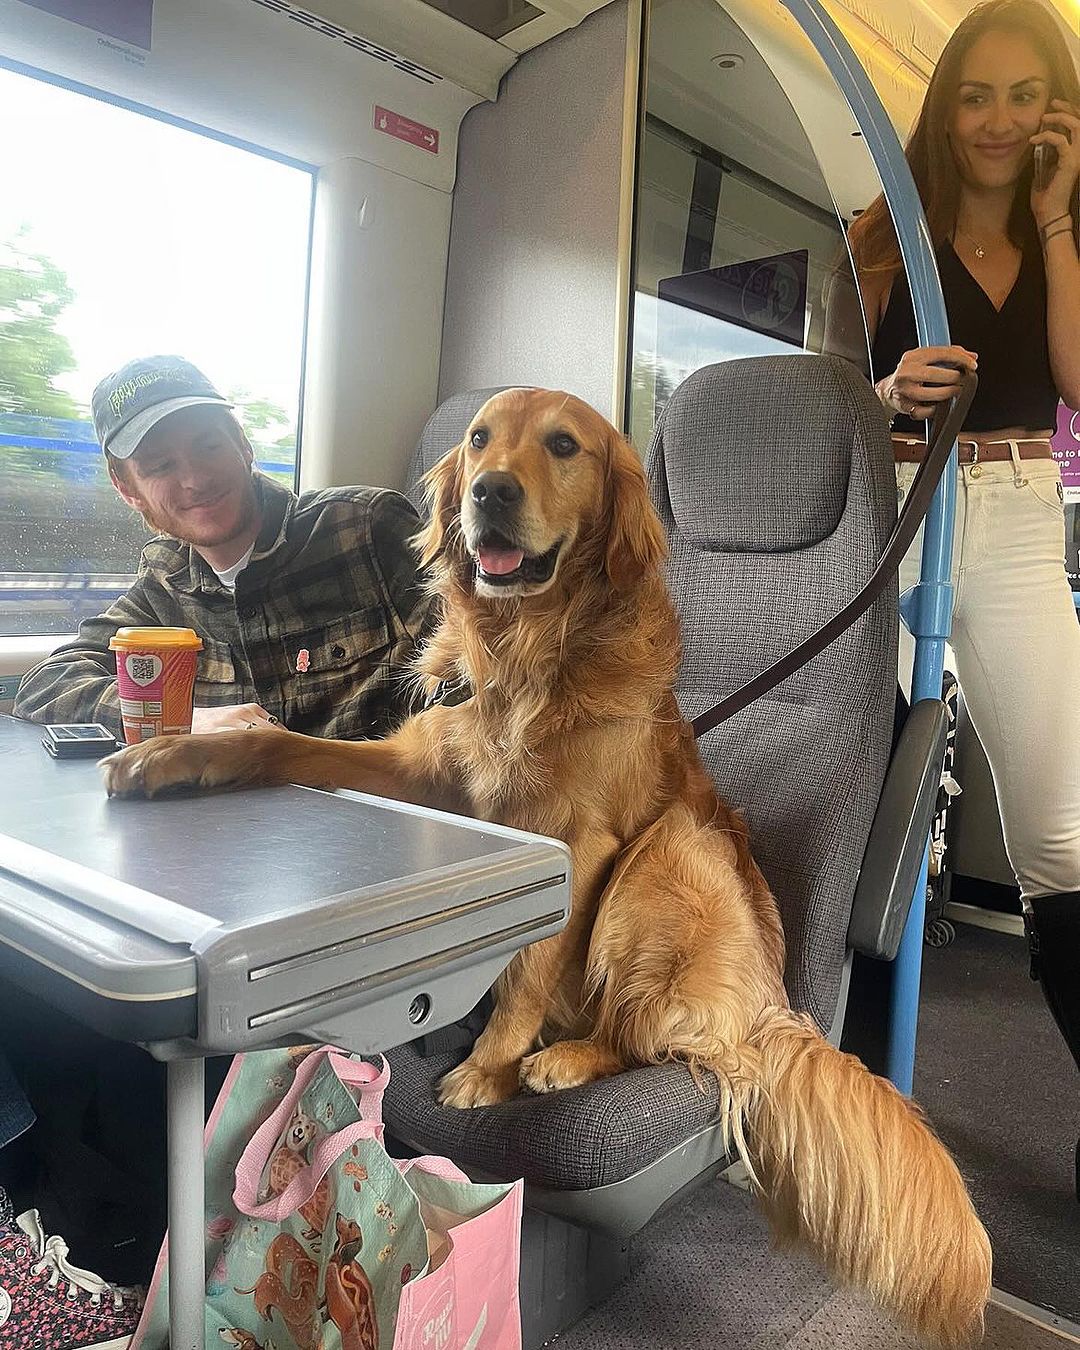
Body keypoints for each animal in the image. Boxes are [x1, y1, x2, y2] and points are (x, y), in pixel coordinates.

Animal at [105, 388, 993, 1339]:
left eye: (565, 446)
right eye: (478, 440)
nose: (489, 490)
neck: (528, 645)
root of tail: (776, 1005)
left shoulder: (583, 845)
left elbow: (532, 967)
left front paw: (488, 1068)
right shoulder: (420, 768)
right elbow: (280, 744)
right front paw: (171, 756)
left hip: (669, 854)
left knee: (661, 1040)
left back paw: (560, 1059)